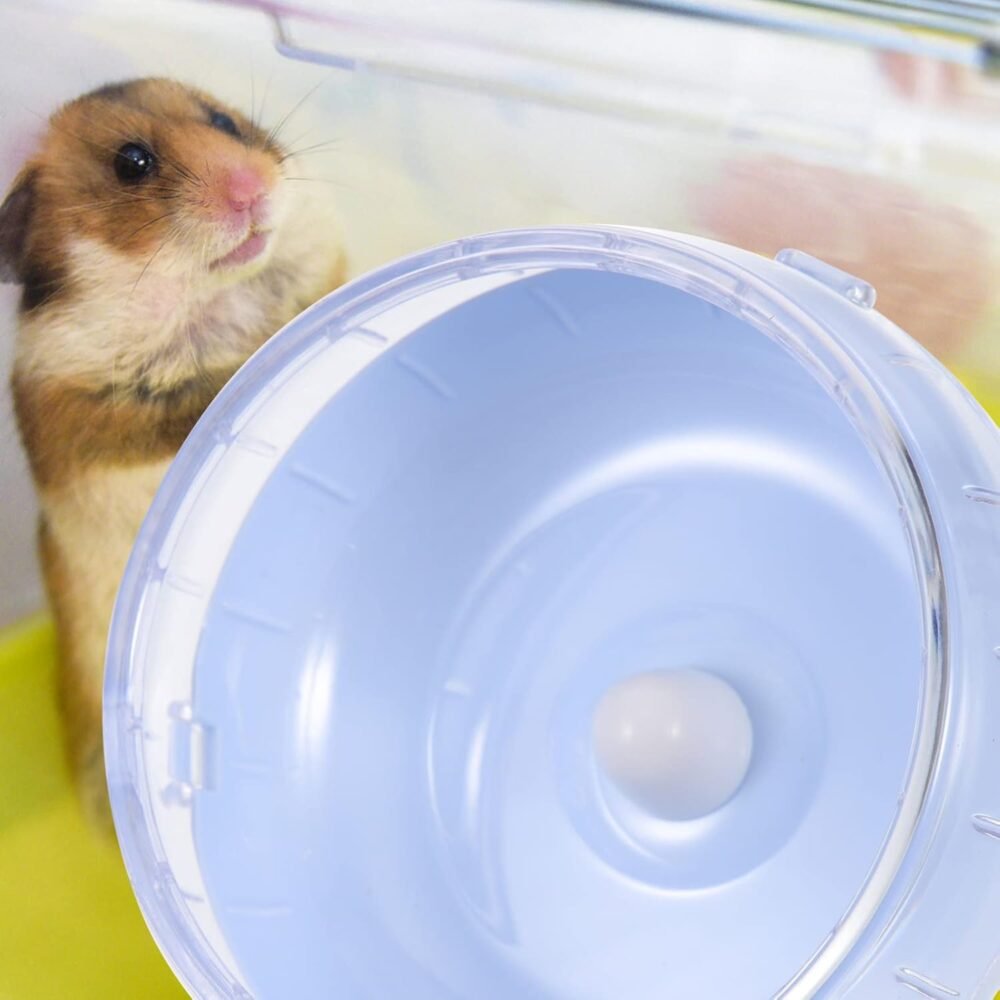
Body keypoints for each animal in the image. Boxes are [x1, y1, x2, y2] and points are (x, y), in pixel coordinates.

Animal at [0, 78, 346, 829]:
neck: (205, 297)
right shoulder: (87, 419)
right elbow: (193, 409)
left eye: (224, 120)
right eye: (132, 163)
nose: (252, 188)